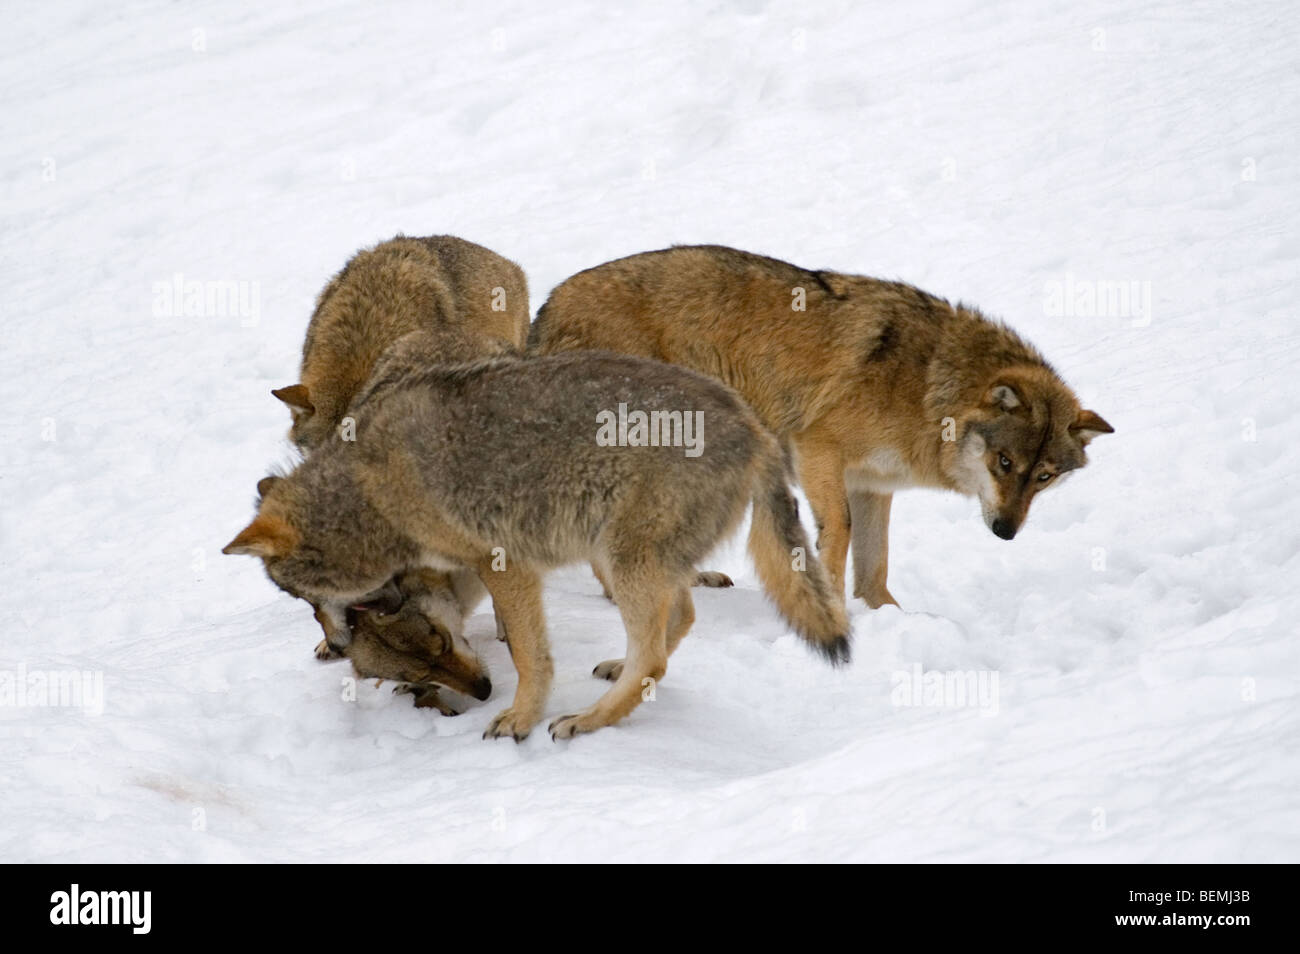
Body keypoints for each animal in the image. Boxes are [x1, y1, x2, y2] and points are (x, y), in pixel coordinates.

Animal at [223, 356, 852, 743]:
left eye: (302, 597)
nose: (333, 644)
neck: (370, 491)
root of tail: (755, 430)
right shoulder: (466, 568)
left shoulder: (505, 564)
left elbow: (529, 656)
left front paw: (520, 718)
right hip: (617, 555)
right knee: (678, 624)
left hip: (622, 558)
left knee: (654, 653)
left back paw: (586, 721)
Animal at [533, 243, 1112, 608]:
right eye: (1004, 462)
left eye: (1043, 477)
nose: (1006, 532)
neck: (927, 386)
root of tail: (548, 307)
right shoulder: (817, 450)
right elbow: (840, 535)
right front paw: (835, 605)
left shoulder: (874, 485)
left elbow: (876, 565)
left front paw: (888, 616)